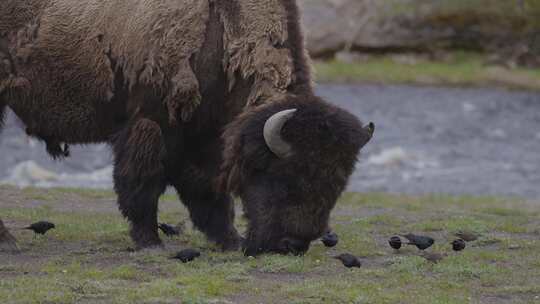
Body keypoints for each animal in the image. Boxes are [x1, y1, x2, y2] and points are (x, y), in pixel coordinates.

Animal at [0, 0, 374, 255]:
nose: (293, 245)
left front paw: (229, 240)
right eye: (287, 179)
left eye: (338, 185)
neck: (222, 28)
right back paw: (9, 242)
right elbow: (144, 184)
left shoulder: (206, 137)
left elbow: (208, 191)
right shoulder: (152, 126)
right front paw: (150, 241)